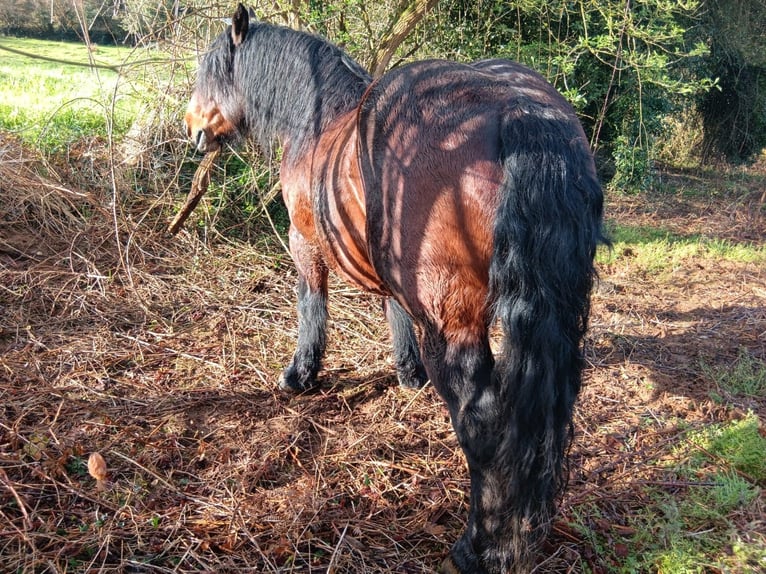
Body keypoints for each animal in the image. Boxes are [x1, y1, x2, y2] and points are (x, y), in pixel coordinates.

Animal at [184, 5, 606, 573]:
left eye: (213, 70)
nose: (193, 129)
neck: (317, 121)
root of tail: (519, 109)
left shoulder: (304, 241)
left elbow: (310, 303)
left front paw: (301, 373)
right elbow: (394, 312)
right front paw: (408, 372)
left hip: (455, 323)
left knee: (483, 423)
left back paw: (480, 546)